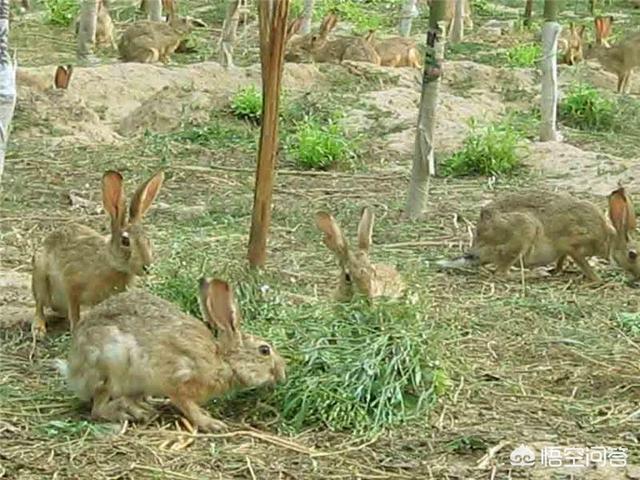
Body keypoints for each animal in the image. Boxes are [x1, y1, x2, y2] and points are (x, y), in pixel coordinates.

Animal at [31, 170, 164, 338]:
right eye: (125, 241)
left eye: (148, 240)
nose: (147, 267)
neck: (110, 262)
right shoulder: (72, 285)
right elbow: (74, 313)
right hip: (40, 275)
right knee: (39, 304)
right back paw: (38, 329)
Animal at [56, 278, 286, 432]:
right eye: (264, 350)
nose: (283, 374)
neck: (223, 361)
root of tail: (73, 371)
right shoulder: (177, 381)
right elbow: (187, 406)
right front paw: (211, 423)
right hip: (109, 366)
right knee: (98, 408)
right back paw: (133, 413)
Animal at [438, 188, 640, 284]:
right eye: (632, 254)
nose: (638, 277)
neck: (608, 238)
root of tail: (477, 247)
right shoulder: (573, 244)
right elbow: (582, 262)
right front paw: (597, 279)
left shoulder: (564, 251)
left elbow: (561, 260)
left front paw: (558, 270)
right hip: (523, 231)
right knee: (501, 274)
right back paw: (536, 274)